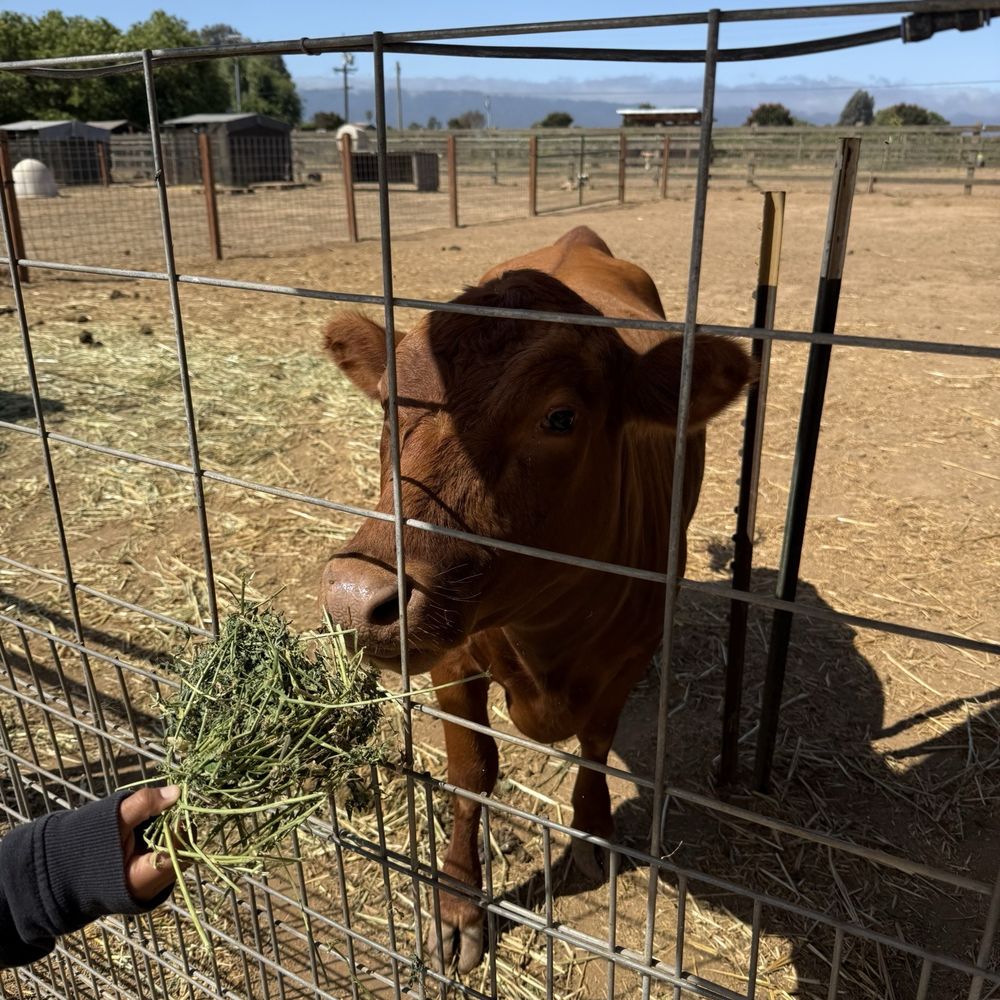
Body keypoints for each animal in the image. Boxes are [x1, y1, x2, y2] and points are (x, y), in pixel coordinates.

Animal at [321, 226, 753, 972]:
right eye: (387, 404)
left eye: (560, 417)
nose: (354, 594)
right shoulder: (452, 656)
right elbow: (471, 773)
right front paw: (458, 906)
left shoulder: (629, 655)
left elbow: (596, 747)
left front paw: (591, 835)